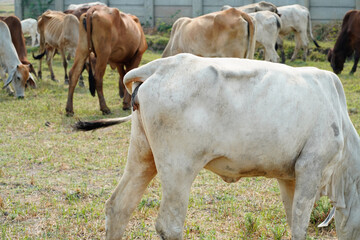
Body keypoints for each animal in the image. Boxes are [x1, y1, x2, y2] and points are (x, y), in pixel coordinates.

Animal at [74, 53, 360, 240]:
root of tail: (159, 67)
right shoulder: (311, 168)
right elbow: (300, 227)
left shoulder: (289, 176)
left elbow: (293, 222)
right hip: (178, 168)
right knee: (169, 225)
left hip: (142, 156)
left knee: (118, 207)